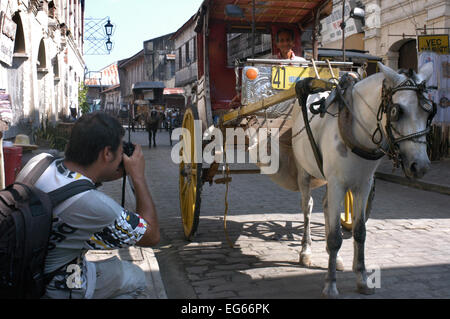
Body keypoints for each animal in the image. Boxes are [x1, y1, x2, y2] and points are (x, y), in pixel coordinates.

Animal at [248, 62, 434, 298]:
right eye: (396, 111)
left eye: (428, 112)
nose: (420, 166)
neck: (355, 128)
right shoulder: (337, 183)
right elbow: (336, 235)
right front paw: (330, 284)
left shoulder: (363, 185)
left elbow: (359, 232)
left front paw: (362, 278)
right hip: (305, 173)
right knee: (308, 207)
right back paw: (306, 251)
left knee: (327, 206)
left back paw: (333, 258)